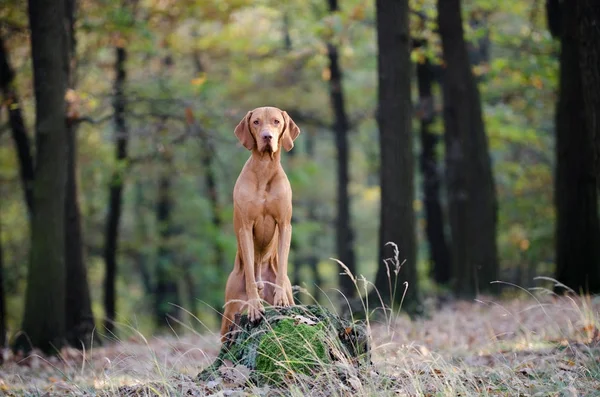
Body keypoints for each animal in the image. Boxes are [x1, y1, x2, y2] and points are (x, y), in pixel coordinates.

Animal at [221, 106, 300, 340]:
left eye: (276, 121)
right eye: (256, 122)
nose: (267, 137)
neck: (264, 169)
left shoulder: (285, 225)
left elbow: (282, 263)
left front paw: (280, 296)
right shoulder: (245, 228)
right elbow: (248, 264)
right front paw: (255, 305)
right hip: (229, 316)